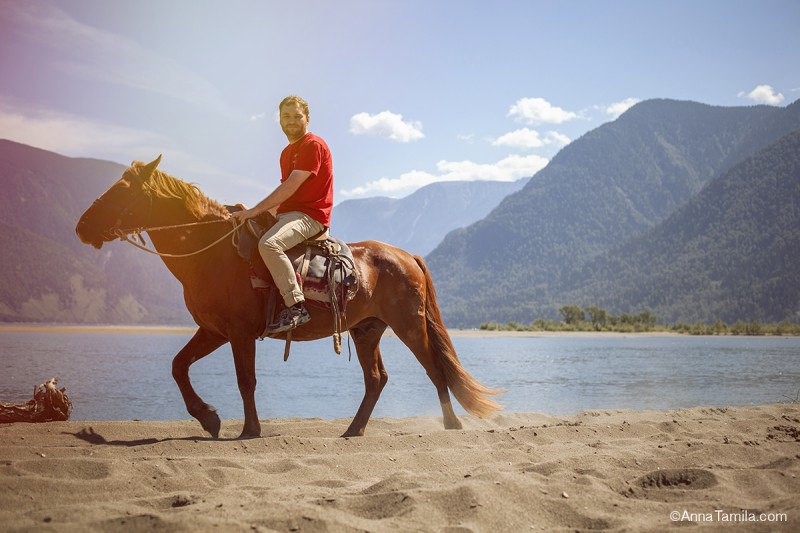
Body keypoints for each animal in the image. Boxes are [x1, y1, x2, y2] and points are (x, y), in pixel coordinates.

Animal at [75, 154, 500, 436]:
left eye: (122, 189)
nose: (82, 226)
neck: (212, 251)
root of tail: (406, 255)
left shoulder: (239, 333)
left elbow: (245, 380)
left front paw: (249, 430)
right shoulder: (213, 330)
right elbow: (179, 366)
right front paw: (209, 418)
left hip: (408, 325)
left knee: (434, 368)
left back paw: (451, 423)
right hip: (367, 330)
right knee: (376, 379)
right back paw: (353, 430)